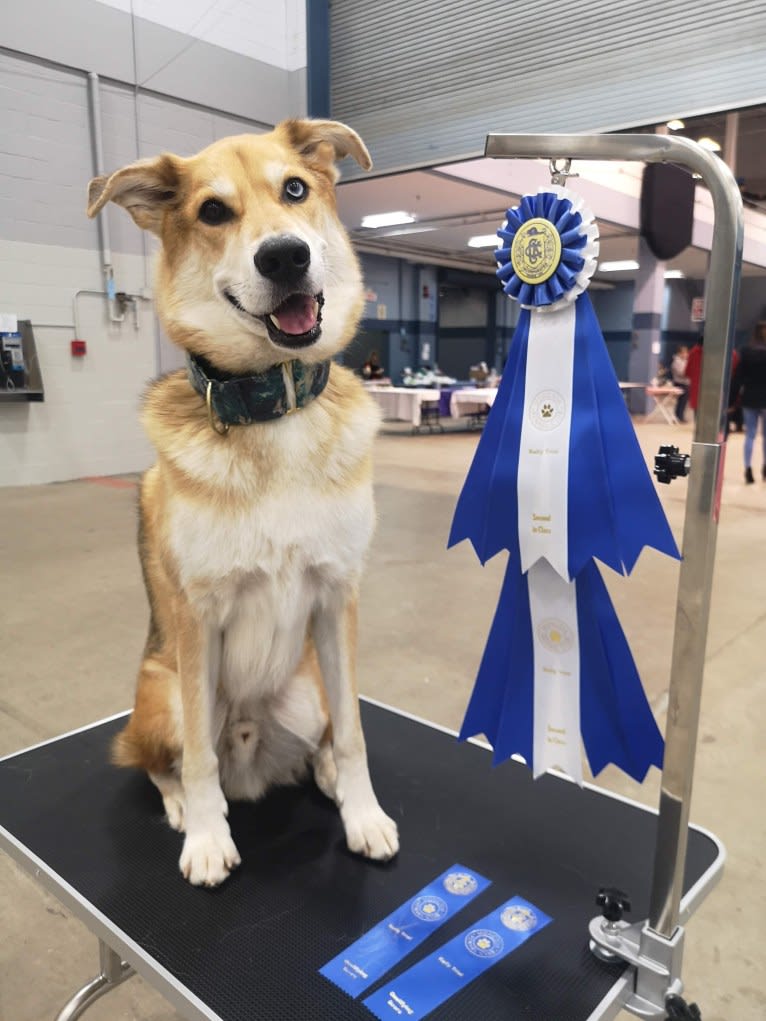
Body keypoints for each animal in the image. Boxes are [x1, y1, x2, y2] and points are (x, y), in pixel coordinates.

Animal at [88, 119, 402, 886]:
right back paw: (183, 806)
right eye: (212, 211)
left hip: (307, 686)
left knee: (324, 737)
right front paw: (206, 838)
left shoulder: (337, 597)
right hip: (163, 689)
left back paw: (324, 777)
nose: (286, 256)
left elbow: (355, 732)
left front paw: (363, 814)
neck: (272, 407)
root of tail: (254, 751)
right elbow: (198, 757)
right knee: (160, 761)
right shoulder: (196, 618)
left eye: (294, 189)